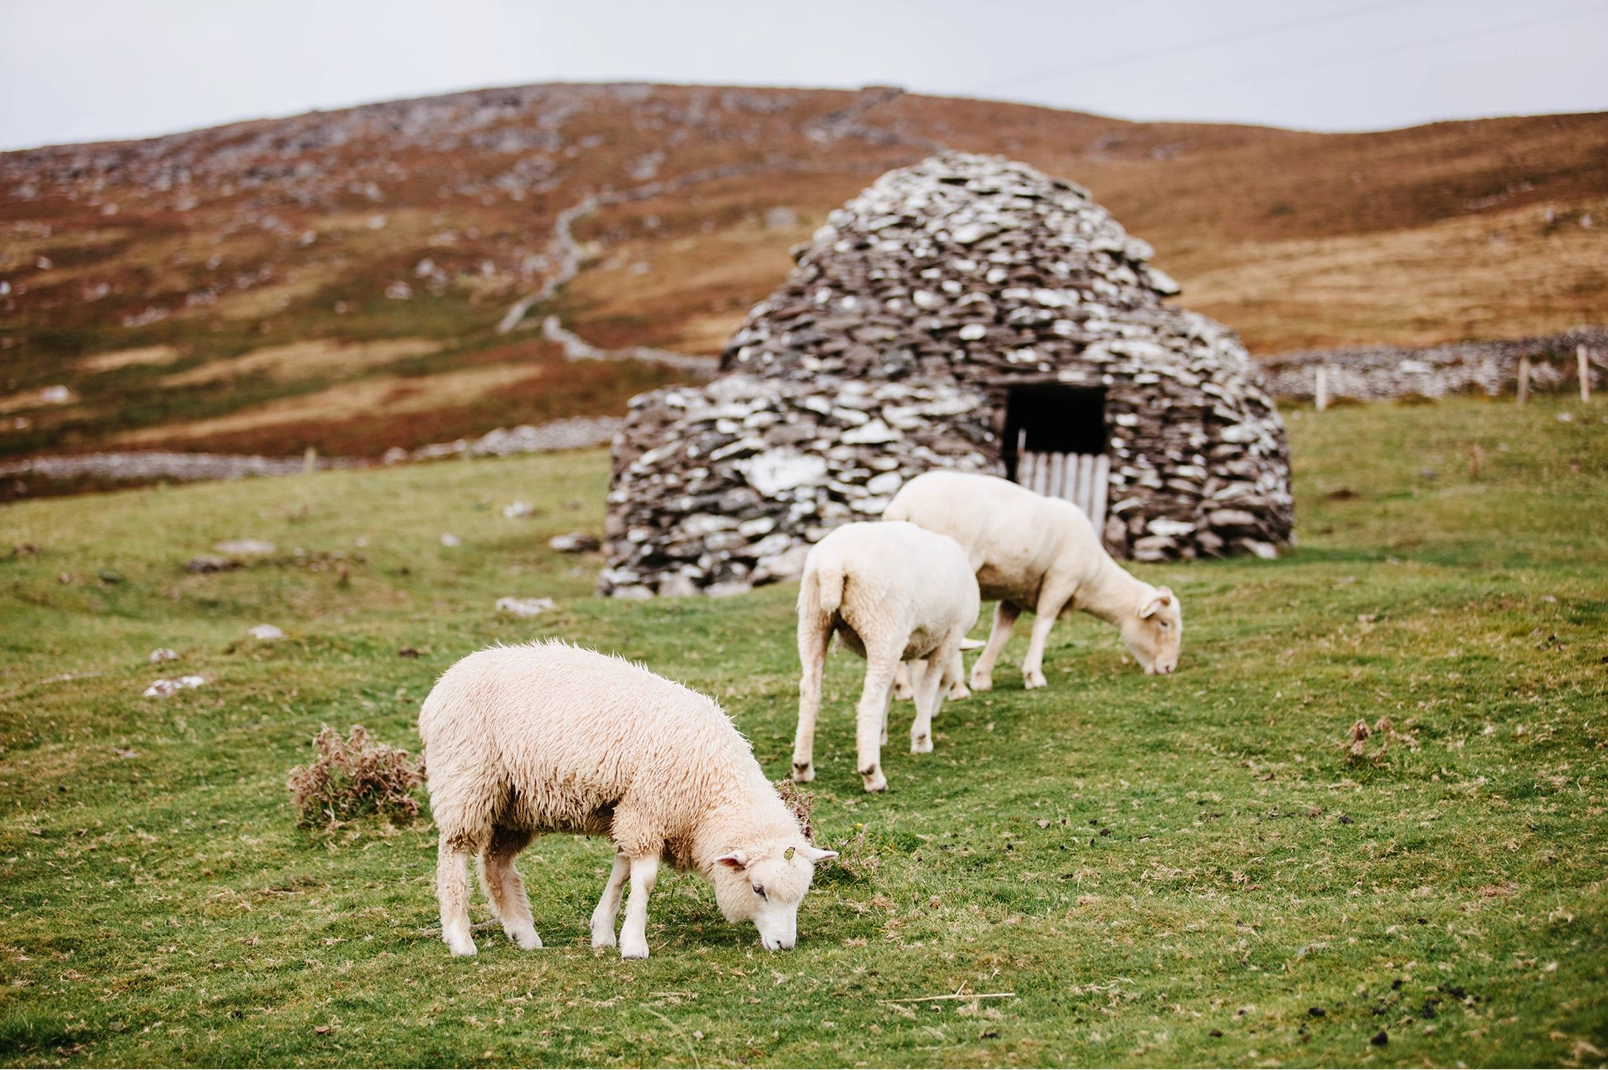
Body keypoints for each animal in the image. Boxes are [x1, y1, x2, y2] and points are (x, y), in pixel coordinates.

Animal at [419, 641, 836, 961]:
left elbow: (622, 873)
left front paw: (603, 933)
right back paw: (460, 939)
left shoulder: (633, 810)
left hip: (515, 805)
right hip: (466, 781)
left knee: (496, 865)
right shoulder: (648, 807)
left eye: (800, 895)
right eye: (758, 889)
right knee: (454, 856)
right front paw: (634, 945)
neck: (710, 792)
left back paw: (524, 934)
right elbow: (644, 880)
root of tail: (443, 683)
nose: (784, 944)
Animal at [792, 520, 980, 793]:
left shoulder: (900, 650)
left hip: (813, 619)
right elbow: (928, 685)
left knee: (810, 691)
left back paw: (803, 767)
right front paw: (921, 739)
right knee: (870, 699)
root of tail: (833, 564)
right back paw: (872, 774)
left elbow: (891, 688)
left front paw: (880, 734)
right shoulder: (950, 636)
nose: (936, 715)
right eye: (949, 685)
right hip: (881, 624)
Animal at [884, 470, 1182, 689]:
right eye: (1164, 623)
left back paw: (902, 687)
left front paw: (982, 678)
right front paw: (1033, 676)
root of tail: (903, 505)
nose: (1169, 668)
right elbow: (1043, 625)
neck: (1092, 576)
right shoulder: (1061, 580)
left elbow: (1001, 632)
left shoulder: (1014, 594)